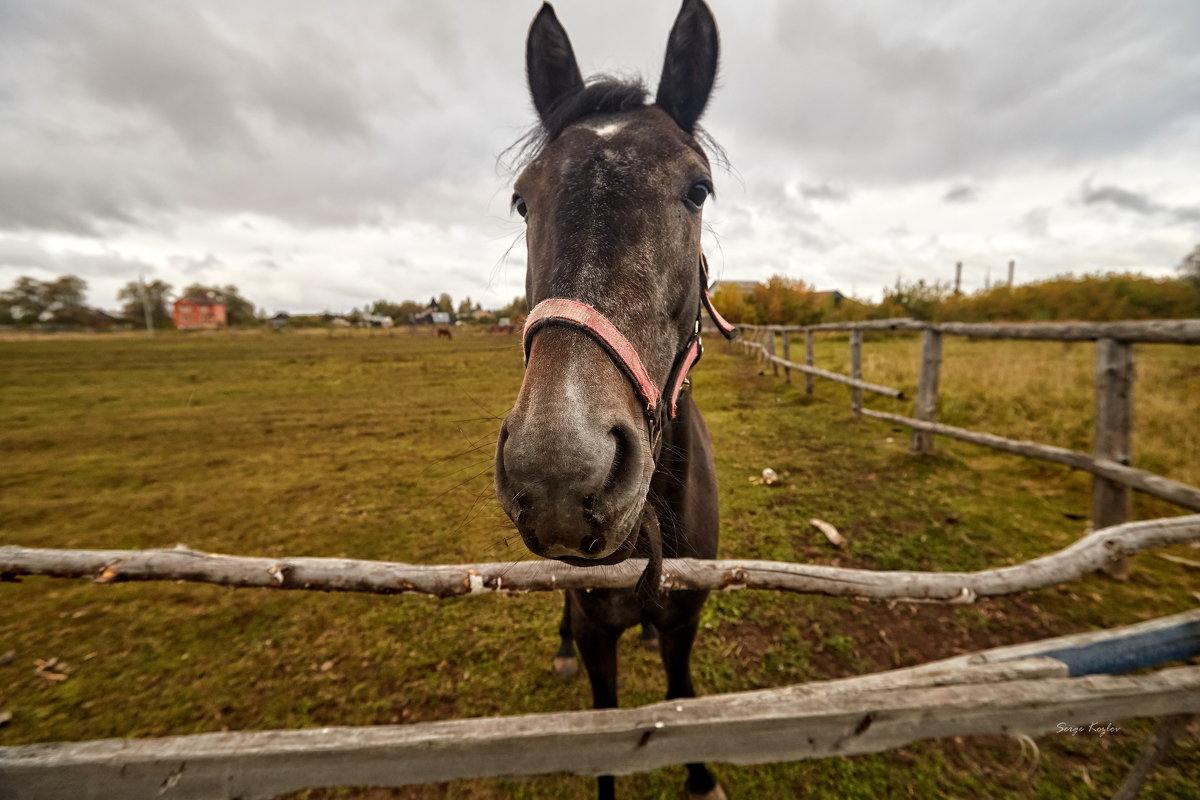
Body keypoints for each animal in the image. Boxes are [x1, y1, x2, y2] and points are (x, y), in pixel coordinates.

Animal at [494, 3, 734, 796]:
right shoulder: (600, 630)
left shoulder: (686, 618)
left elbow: (681, 691)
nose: (561, 474)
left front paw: (700, 776)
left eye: (698, 189)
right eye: (523, 199)